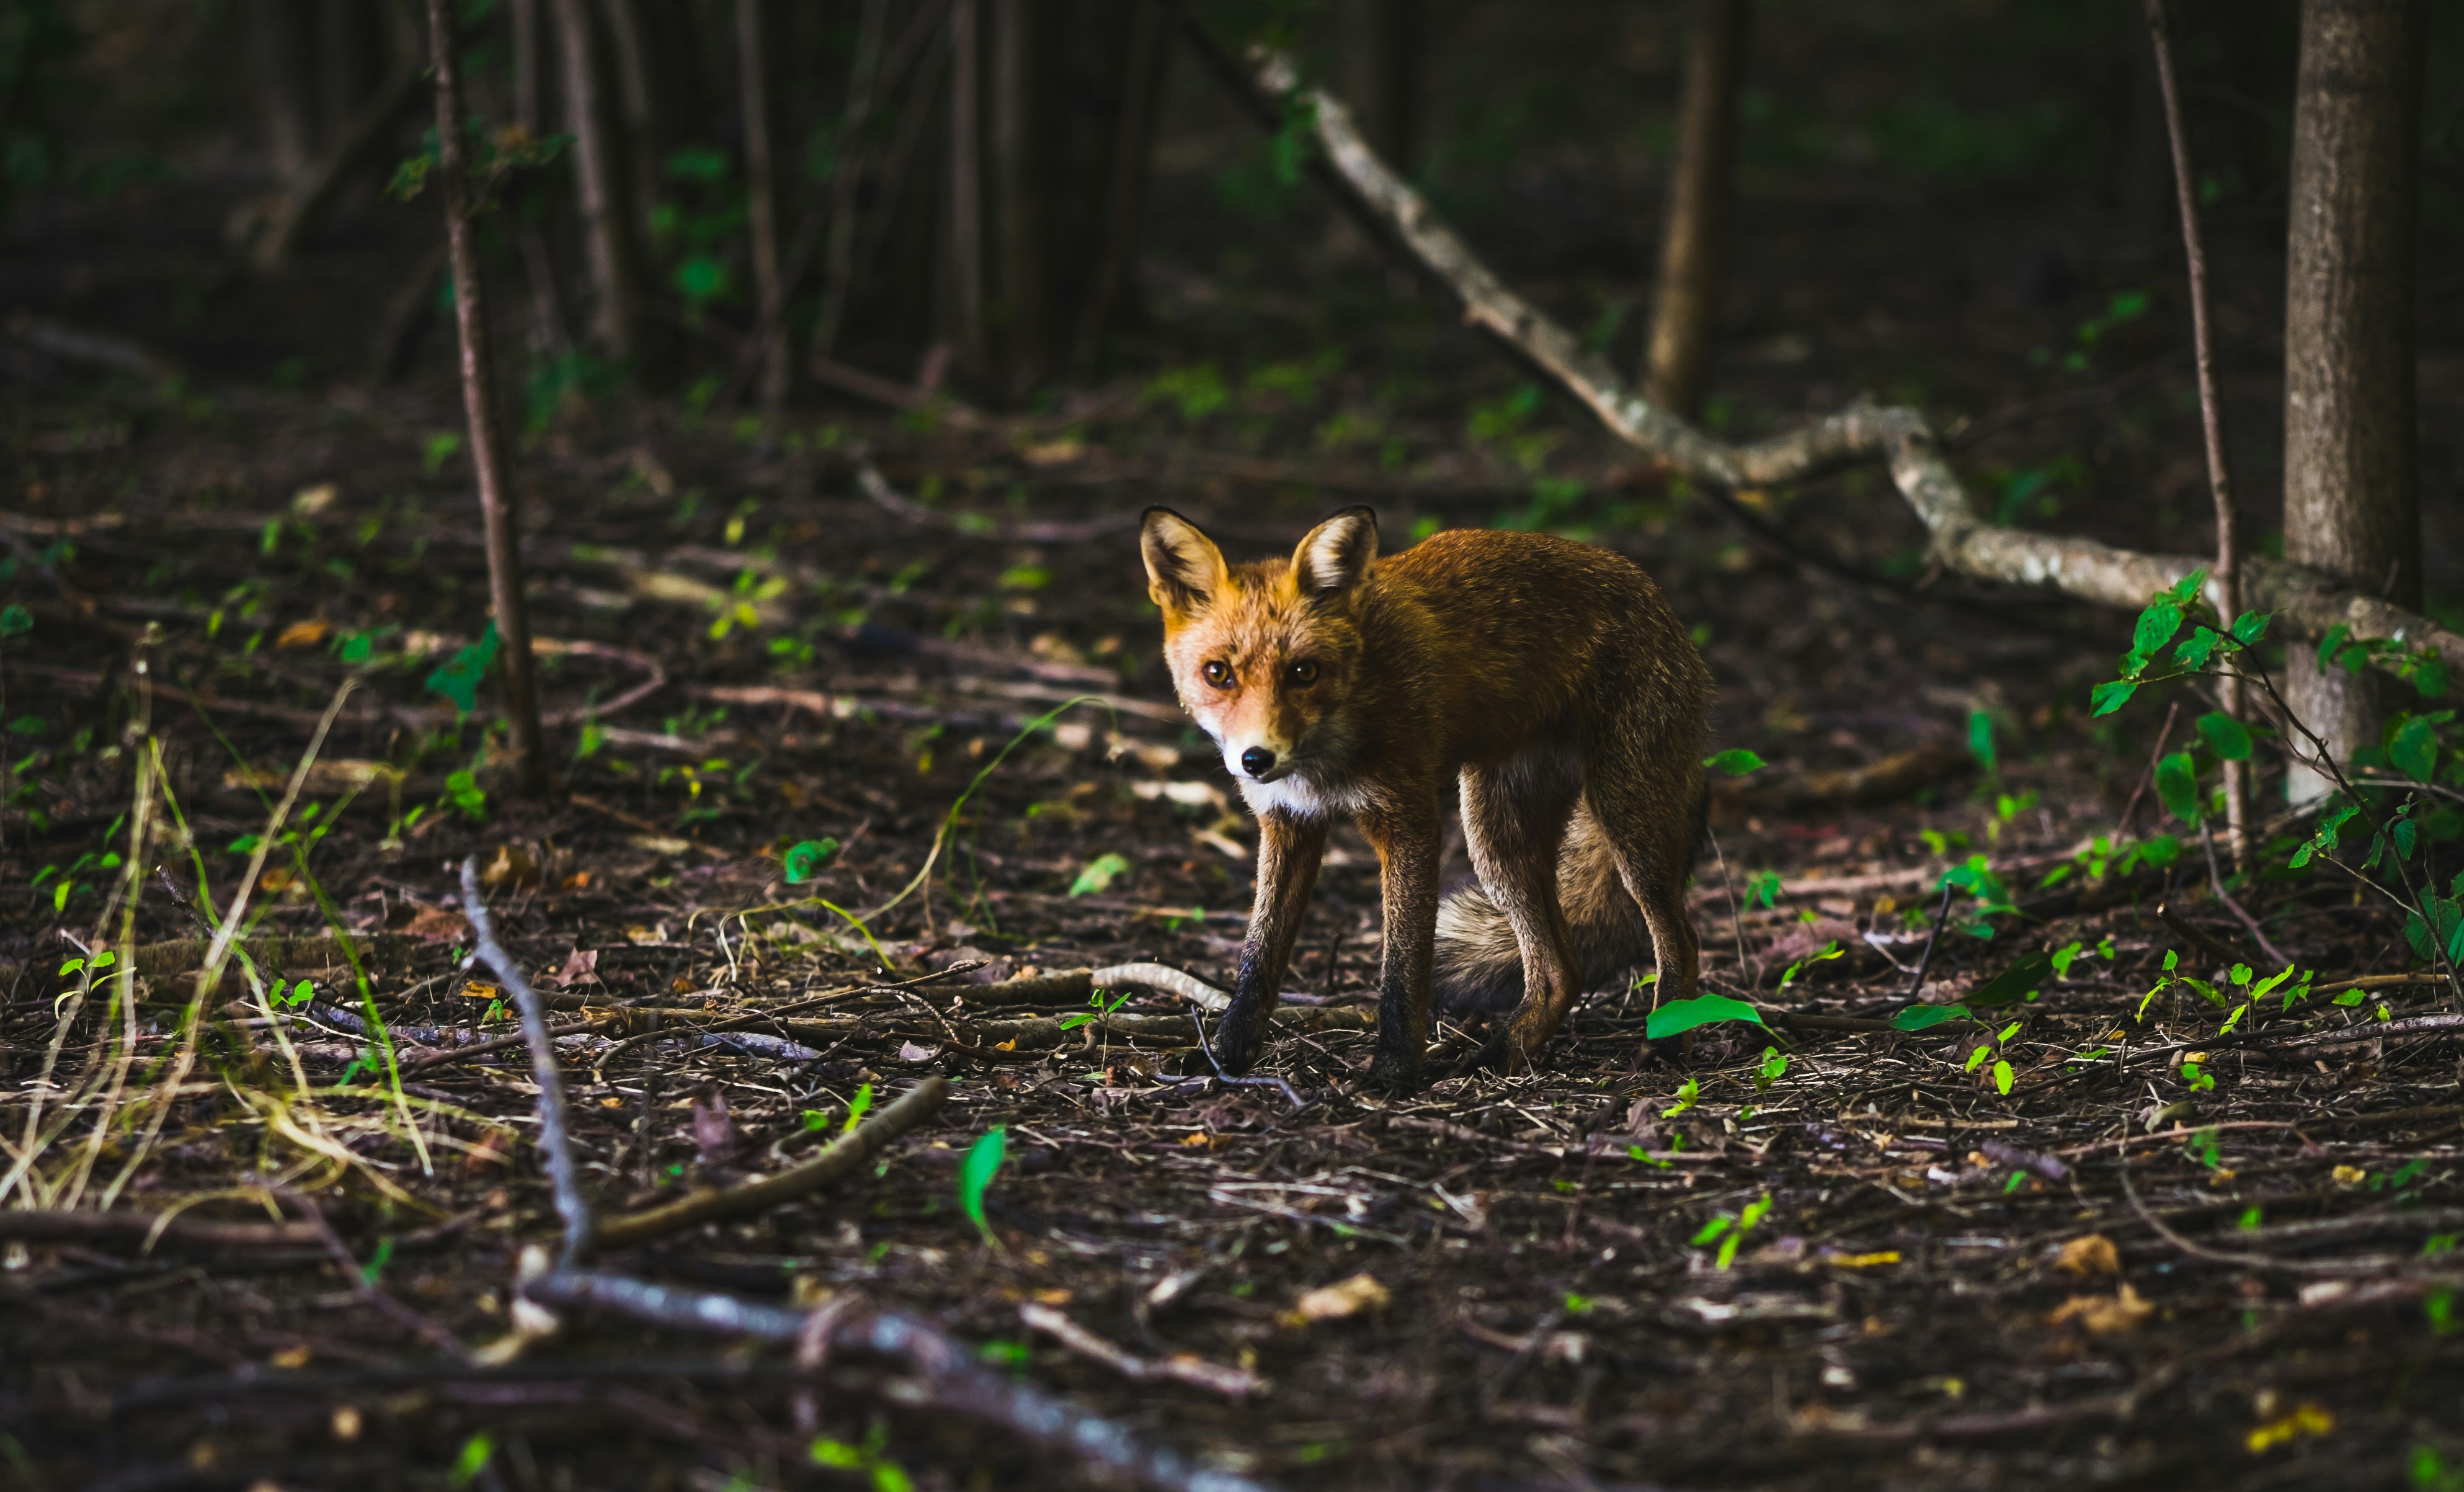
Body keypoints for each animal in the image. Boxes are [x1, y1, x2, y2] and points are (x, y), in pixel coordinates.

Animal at [1138, 505, 1705, 1090]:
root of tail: (1650, 588)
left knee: (1682, 940)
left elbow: (1402, 970)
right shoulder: (1288, 824)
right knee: (1559, 972)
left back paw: (1665, 1047)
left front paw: (1390, 1071)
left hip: (1624, 822)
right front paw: (1224, 1057)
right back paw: (1499, 1055)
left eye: (1303, 671)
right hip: (1499, 842)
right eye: (1217, 673)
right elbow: (1257, 957)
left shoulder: (1407, 820)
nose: (1256, 759)